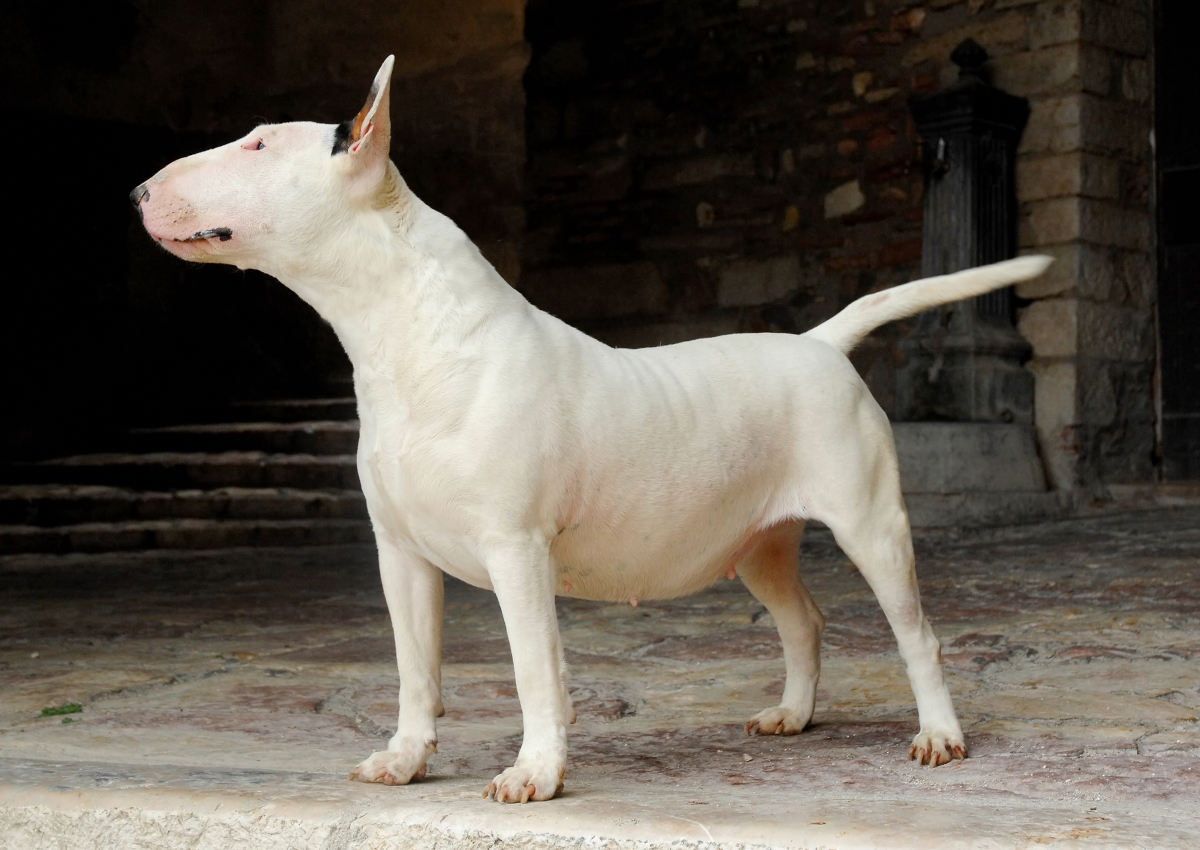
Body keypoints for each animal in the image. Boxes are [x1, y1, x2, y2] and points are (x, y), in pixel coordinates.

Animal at [133, 56, 1051, 801]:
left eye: (257, 145)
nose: (138, 192)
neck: (408, 333)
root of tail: (819, 343)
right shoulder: (400, 553)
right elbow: (413, 669)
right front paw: (404, 758)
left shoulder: (517, 549)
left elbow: (535, 670)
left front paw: (534, 774)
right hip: (759, 544)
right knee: (805, 621)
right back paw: (791, 715)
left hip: (871, 524)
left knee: (917, 633)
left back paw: (940, 735)